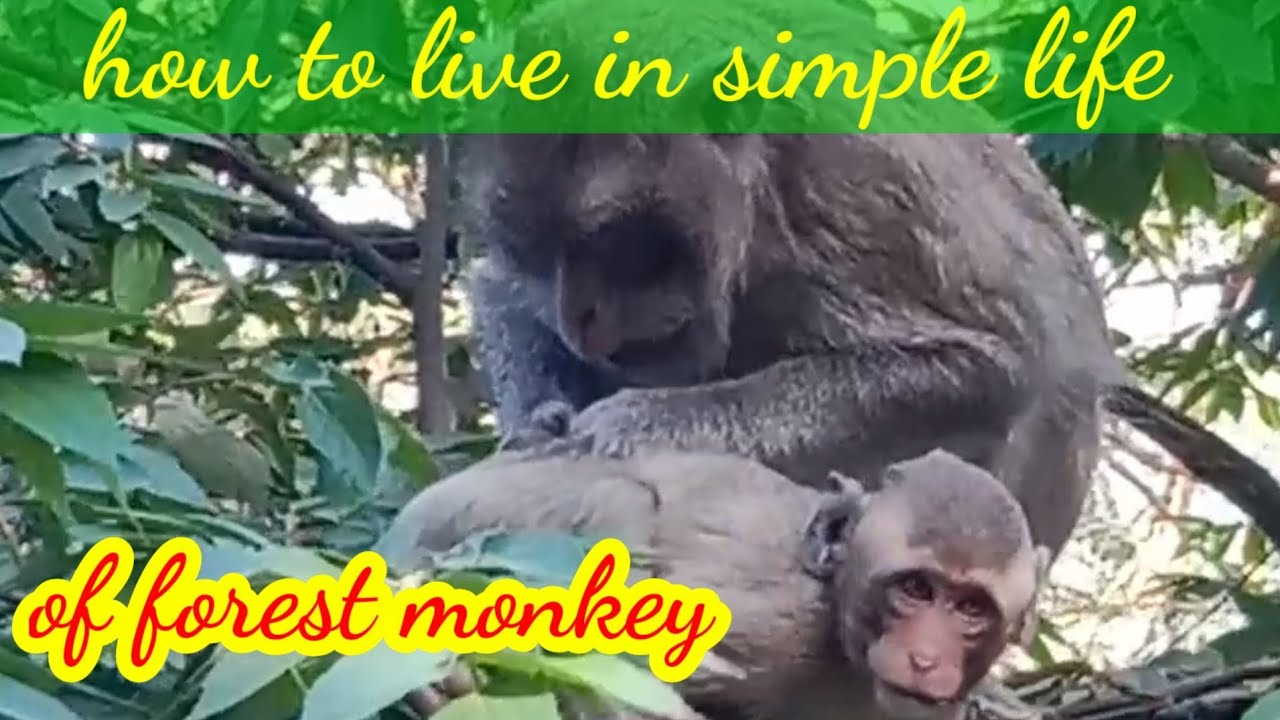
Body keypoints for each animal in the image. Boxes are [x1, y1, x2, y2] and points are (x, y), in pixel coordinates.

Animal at [458, 133, 1126, 564]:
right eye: (536, 251)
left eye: (612, 240)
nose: (579, 318)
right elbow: (498, 294)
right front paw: (537, 422)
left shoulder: (853, 191)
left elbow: (987, 373)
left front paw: (635, 425)